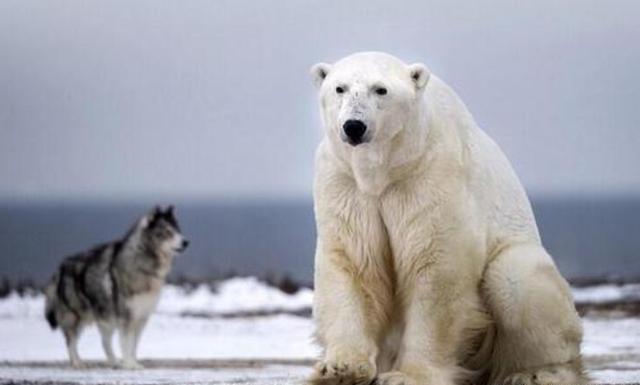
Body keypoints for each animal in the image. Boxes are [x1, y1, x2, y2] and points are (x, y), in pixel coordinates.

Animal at [308, 52, 584, 384]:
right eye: (340, 88)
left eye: (381, 89)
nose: (353, 126)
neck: (386, 170)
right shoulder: (344, 183)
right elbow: (353, 263)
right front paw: (340, 369)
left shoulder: (431, 176)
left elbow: (435, 269)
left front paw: (407, 376)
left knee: (517, 278)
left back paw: (536, 373)